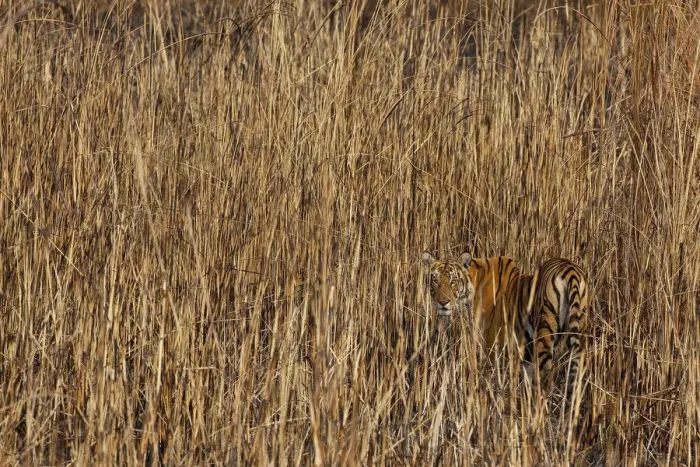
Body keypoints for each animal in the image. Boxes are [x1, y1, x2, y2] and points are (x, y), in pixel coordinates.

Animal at [421, 251, 589, 391]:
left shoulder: (493, 344)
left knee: (546, 375)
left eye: (453, 281)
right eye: (435, 280)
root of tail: (570, 270)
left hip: (544, 334)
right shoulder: (525, 353)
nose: (442, 302)